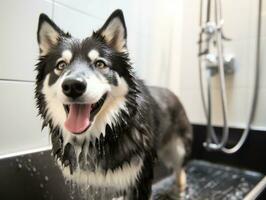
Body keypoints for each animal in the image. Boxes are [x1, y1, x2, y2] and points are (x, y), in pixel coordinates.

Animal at [35, 9, 193, 200]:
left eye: (100, 63)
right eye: (61, 65)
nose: (73, 86)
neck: (102, 135)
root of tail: (172, 92)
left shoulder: (140, 178)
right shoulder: (89, 185)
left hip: (178, 149)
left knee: (180, 169)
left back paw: (180, 190)